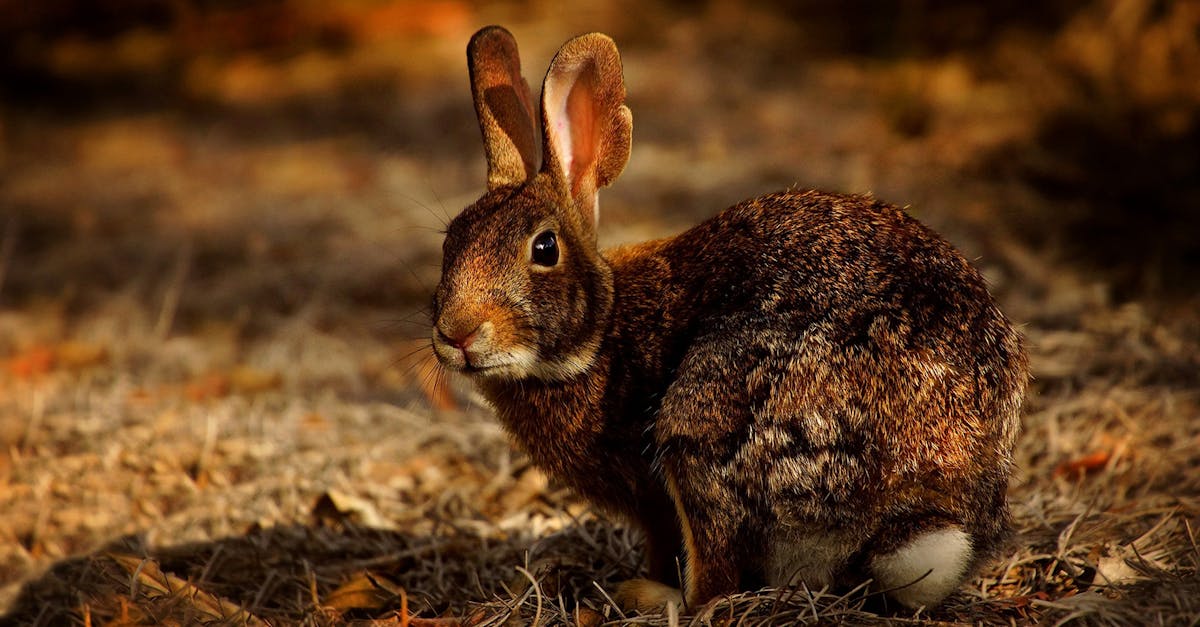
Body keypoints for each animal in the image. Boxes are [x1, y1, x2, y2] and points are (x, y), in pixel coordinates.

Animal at [431, 25, 1028, 613]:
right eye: (450, 240)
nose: (457, 333)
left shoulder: (656, 501)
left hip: (702, 423)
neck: (600, 334)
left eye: (545, 248)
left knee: (715, 581)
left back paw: (649, 595)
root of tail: (918, 497)